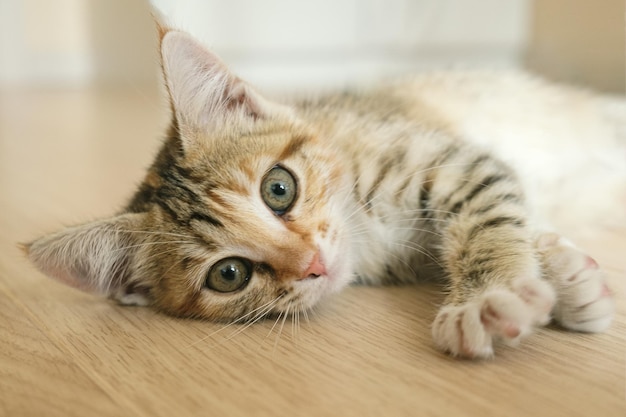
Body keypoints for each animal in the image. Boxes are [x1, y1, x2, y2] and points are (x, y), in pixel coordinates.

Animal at [24, 27, 620, 358]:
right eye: (229, 274)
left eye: (279, 188)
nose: (312, 263)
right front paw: (571, 285)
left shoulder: (453, 161)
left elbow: (489, 217)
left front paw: (489, 297)